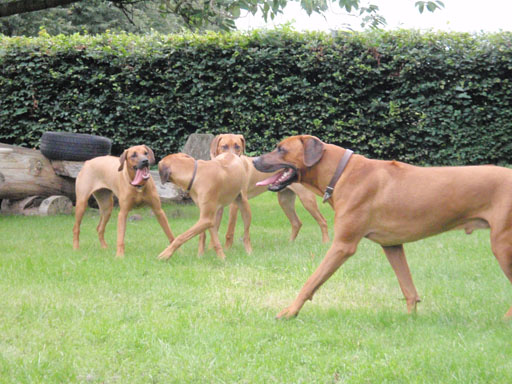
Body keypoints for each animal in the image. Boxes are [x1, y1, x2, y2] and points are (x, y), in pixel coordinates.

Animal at [253, 134, 512, 320]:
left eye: (280, 149)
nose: (254, 160)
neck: (341, 172)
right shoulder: (393, 245)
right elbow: (408, 289)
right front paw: (410, 319)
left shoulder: (342, 245)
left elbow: (311, 281)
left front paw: (290, 312)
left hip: (502, 245)